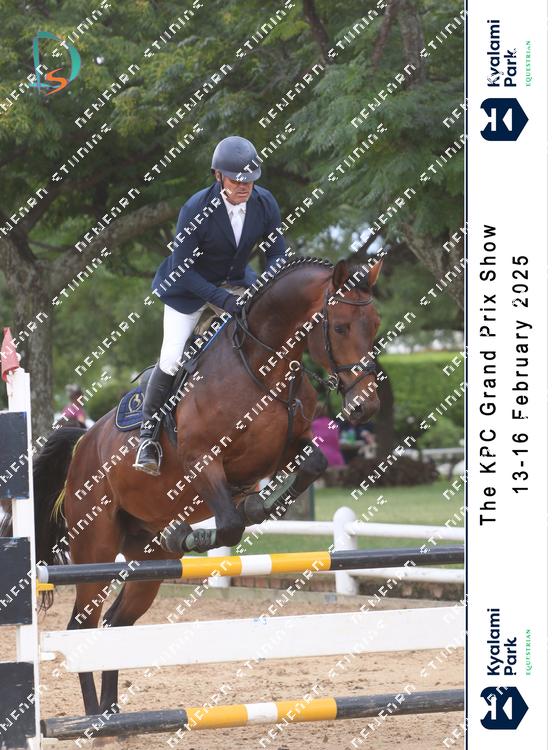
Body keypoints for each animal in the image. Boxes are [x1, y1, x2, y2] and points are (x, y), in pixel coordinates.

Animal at [30, 256, 383, 718]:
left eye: (375, 324)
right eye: (340, 327)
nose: (367, 406)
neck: (263, 366)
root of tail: (82, 444)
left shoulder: (290, 448)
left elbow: (311, 464)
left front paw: (259, 506)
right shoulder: (204, 461)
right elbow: (230, 524)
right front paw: (201, 532)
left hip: (147, 558)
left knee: (115, 624)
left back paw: (111, 714)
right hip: (96, 548)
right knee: (82, 626)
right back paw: (92, 718)